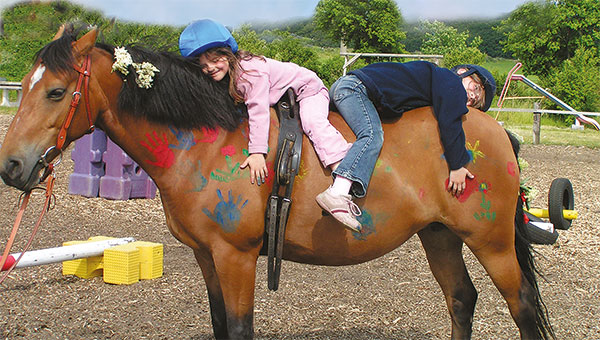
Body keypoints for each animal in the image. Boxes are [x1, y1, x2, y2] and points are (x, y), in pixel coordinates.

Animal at [0, 25, 552, 338]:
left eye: (55, 92)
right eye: (24, 87)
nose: (11, 167)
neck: (208, 143)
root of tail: (489, 127)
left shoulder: (237, 257)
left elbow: (241, 328)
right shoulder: (207, 257)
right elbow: (221, 326)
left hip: (490, 240)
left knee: (520, 305)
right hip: (439, 235)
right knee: (462, 300)